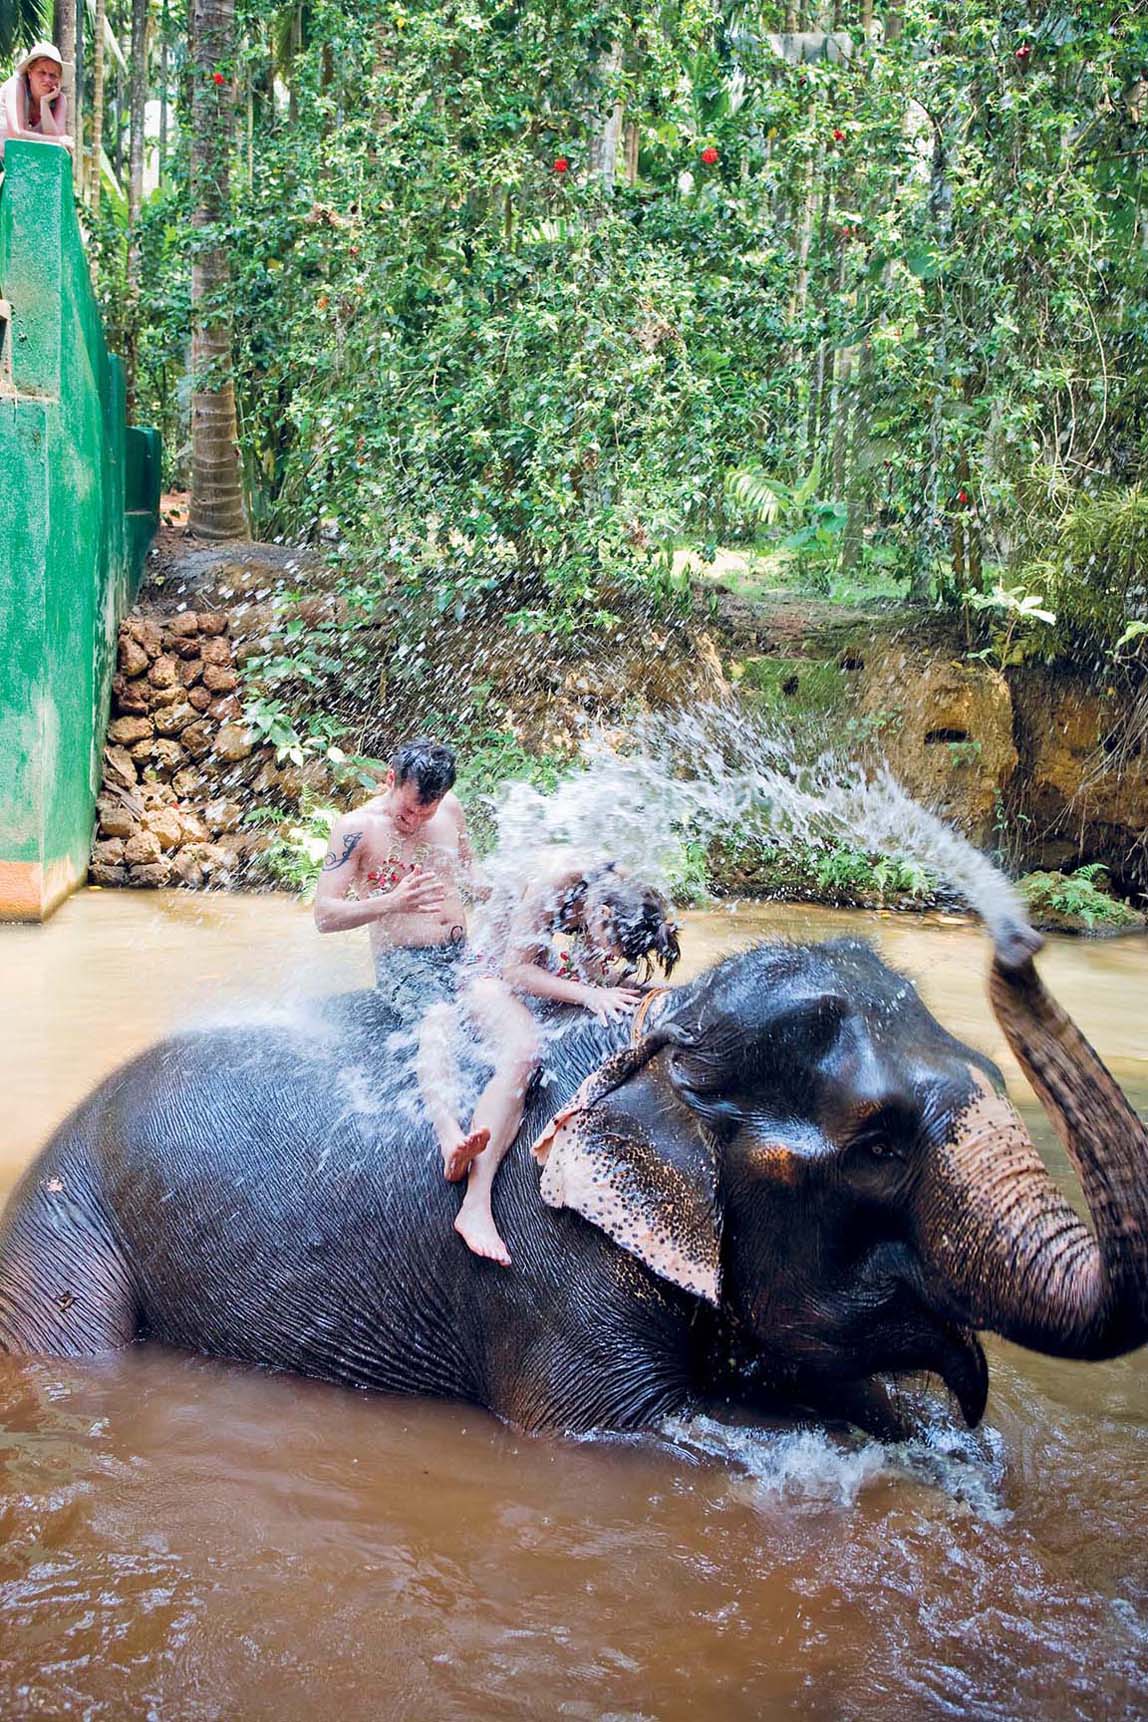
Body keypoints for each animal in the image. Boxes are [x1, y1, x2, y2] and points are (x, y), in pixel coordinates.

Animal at [0, 929, 1142, 1439]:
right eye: (879, 1144)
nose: (1019, 938)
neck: (654, 1046)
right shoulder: (548, 1266)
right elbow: (615, 1425)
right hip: (66, 1231)